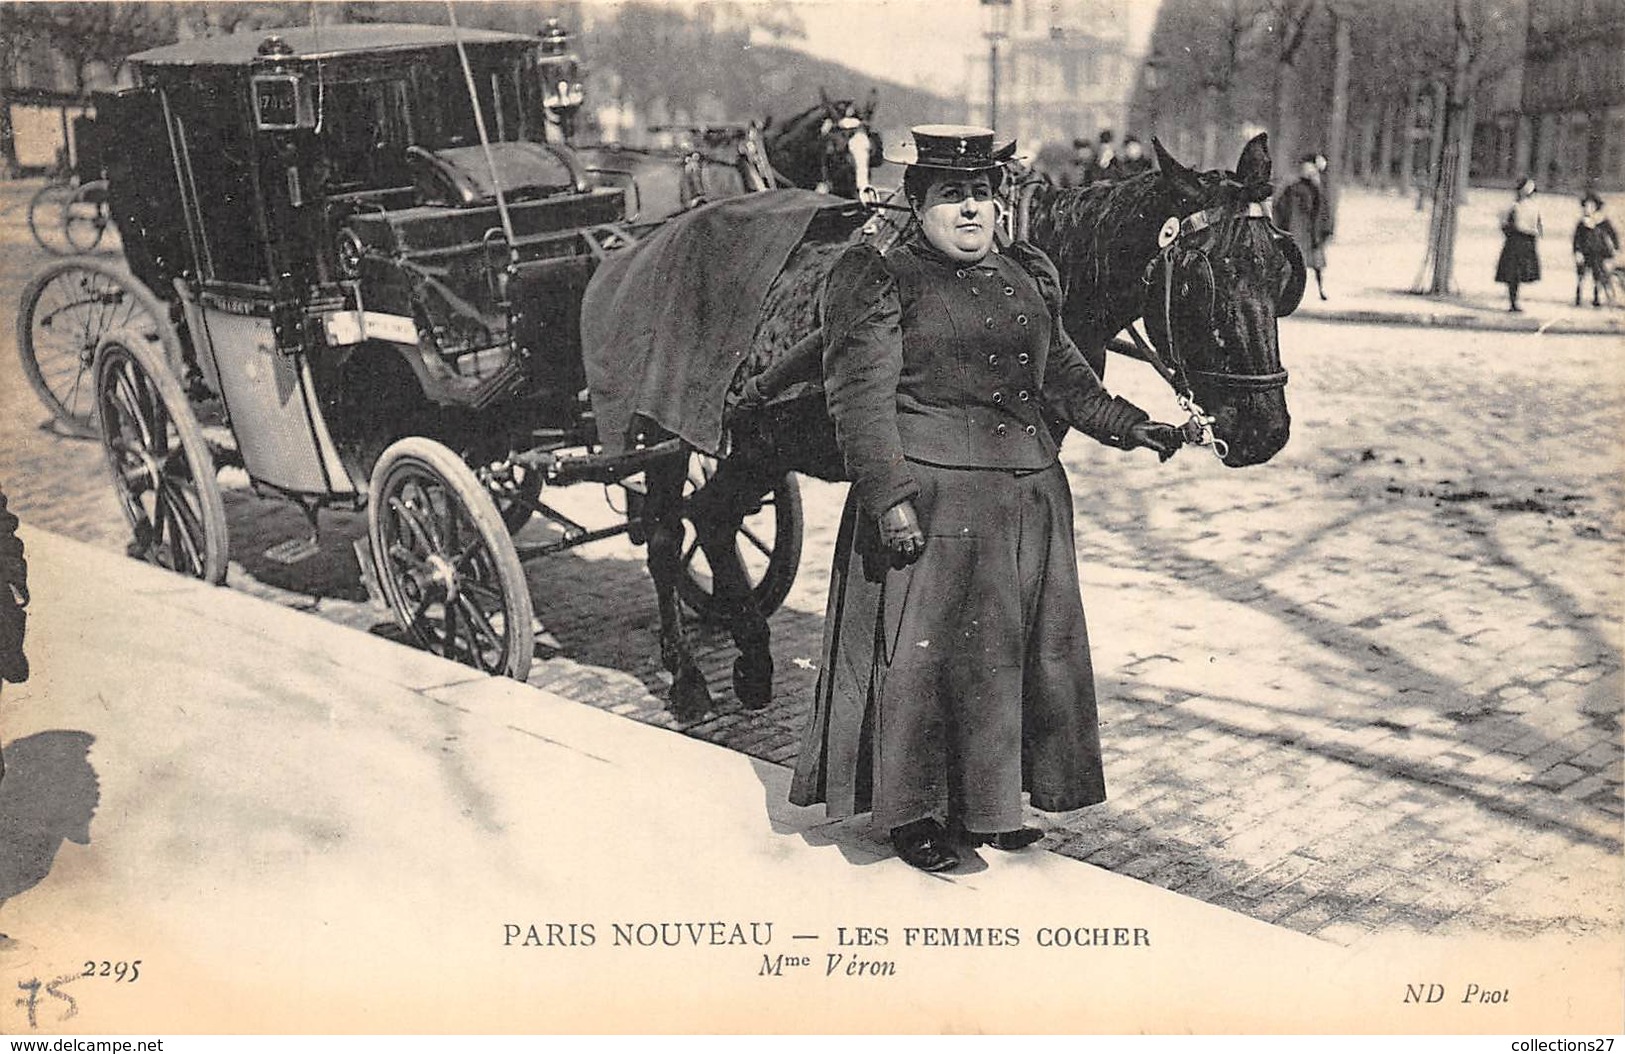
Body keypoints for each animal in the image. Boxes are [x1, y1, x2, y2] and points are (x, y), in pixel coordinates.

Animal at [591, 129, 1300, 714]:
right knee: (669, 532)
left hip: (755, 442)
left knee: (713, 516)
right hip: (676, 434)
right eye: (1201, 277)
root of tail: (647, 239)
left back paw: (751, 657)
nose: (1266, 429)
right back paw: (689, 678)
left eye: (1278, 269)